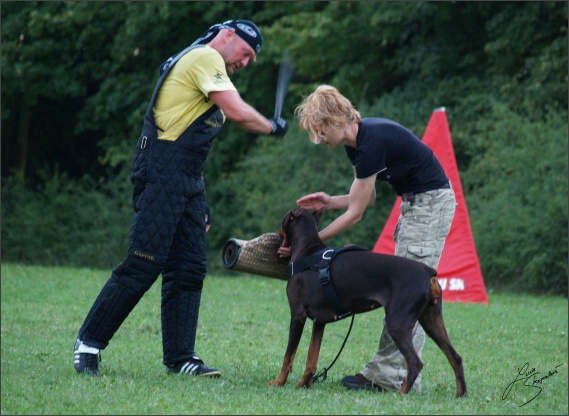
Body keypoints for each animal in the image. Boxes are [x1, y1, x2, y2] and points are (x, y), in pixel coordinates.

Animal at [268, 208, 466, 396]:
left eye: (284, 220)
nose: (275, 233)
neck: (307, 250)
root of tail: (428, 273)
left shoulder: (298, 315)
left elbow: (288, 355)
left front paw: (279, 382)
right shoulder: (319, 322)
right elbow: (312, 357)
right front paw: (303, 384)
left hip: (397, 323)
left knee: (415, 363)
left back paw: (401, 394)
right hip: (432, 320)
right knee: (455, 357)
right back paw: (461, 394)